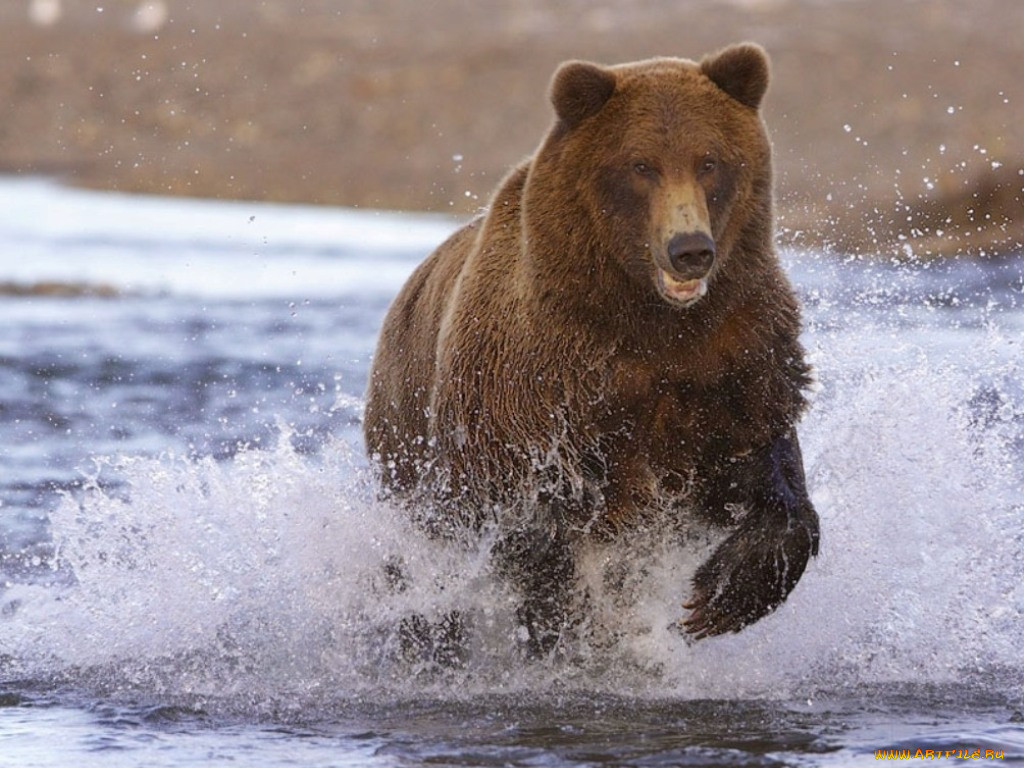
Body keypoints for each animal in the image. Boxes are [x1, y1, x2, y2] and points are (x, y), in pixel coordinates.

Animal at [364, 41, 819, 655]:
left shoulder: (738, 352)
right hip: (409, 446)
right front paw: (571, 622)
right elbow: (535, 530)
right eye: (640, 165)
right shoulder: (541, 385)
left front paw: (716, 597)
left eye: (710, 160)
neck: (649, 319)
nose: (689, 249)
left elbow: (768, 465)